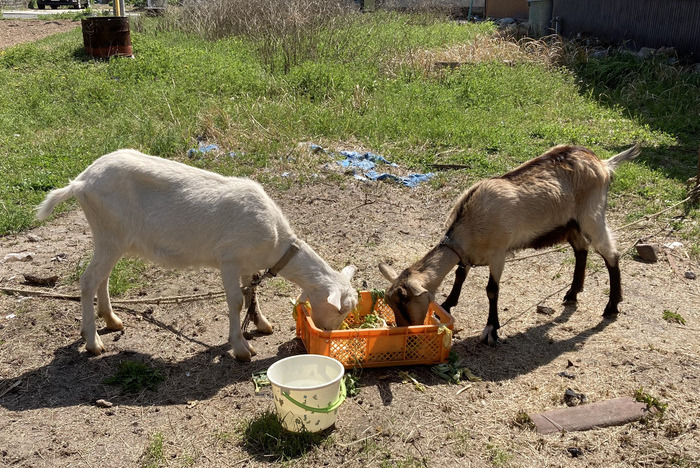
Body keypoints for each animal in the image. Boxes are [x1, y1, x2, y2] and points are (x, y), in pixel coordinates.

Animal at [36, 148, 358, 360]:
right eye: (341, 309)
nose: (329, 333)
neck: (278, 243)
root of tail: (80, 182)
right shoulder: (229, 259)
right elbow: (236, 301)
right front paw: (241, 348)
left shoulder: (247, 264)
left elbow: (252, 294)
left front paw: (261, 324)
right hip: (109, 232)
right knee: (88, 280)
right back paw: (92, 342)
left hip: (112, 238)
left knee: (102, 277)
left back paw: (112, 320)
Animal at [380, 143, 644, 344]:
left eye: (405, 303)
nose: (405, 331)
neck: (469, 222)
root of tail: (602, 163)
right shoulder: (467, 254)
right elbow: (459, 275)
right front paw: (447, 304)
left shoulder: (499, 253)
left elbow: (491, 290)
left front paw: (491, 330)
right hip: (571, 224)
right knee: (581, 249)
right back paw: (572, 293)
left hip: (592, 215)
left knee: (610, 253)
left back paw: (612, 306)